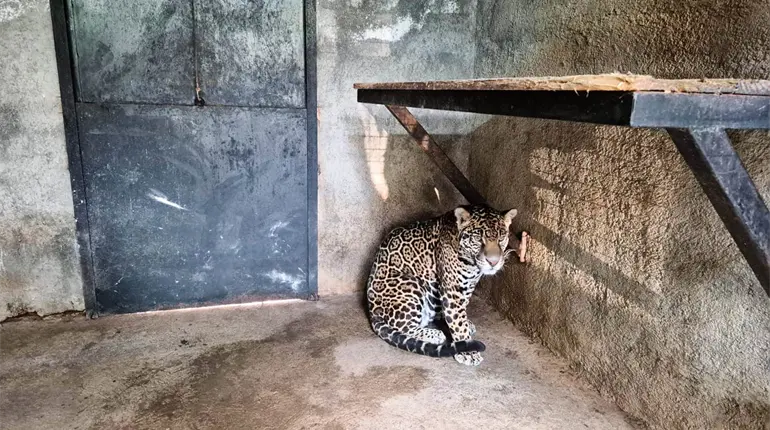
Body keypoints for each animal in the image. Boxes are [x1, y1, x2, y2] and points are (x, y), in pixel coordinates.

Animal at [366, 204, 519, 366]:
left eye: (501, 238)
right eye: (478, 239)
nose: (493, 262)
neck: (472, 264)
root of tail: (372, 311)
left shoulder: (467, 286)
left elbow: (459, 313)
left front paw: (464, 325)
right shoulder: (453, 291)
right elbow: (457, 321)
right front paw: (468, 352)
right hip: (410, 284)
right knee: (403, 326)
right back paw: (434, 334)